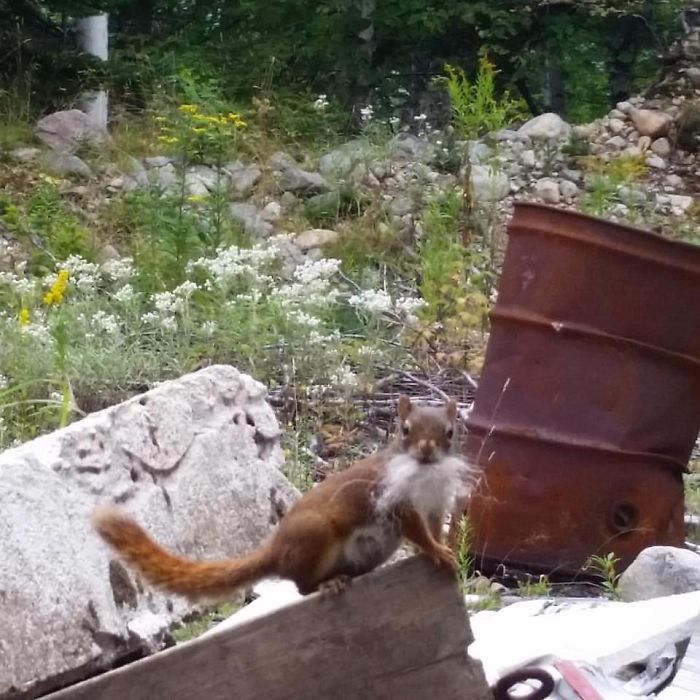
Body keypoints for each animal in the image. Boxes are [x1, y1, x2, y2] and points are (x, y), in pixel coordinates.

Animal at [91, 394, 476, 601]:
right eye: (405, 429)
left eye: (449, 432)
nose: (426, 451)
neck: (425, 474)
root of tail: (276, 551)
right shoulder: (394, 501)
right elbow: (417, 531)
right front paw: (438, 551)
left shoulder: (436, 503)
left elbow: (433, 528)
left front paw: (443, 548)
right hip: (316, 533)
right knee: (302, 586)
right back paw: (329, 584)